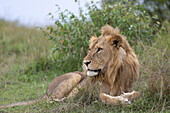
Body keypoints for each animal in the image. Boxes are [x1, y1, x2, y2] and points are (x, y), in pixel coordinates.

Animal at [0, 24, 139, 108]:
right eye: (90, 49)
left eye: (99, 49)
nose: (85, 62)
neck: (112, 72)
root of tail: (46, 91)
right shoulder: (94, 94)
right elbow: (104, 97)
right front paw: (122, 100)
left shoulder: (128, 86)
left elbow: (136, 93)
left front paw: (125, 96)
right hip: (74, 77)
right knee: (52, 99)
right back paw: (64, 100)